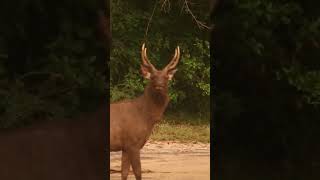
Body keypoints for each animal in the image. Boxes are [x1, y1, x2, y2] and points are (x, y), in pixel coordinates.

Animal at [110, 43, 180, 179]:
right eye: (152, 77)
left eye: (165, 77)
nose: (159, 86)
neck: (146, 118)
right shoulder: (133, 143)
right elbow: (138, 172)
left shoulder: (125, 146)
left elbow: (124, 173)